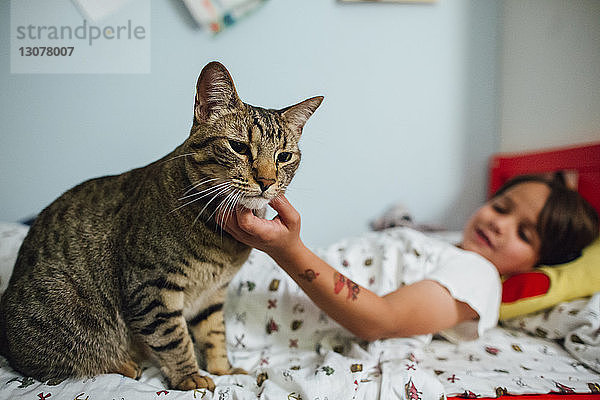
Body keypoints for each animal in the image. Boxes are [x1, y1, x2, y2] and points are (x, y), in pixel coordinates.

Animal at [0, 62, 324, 390]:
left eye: (284, 157)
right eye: (239, 147)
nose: (267, 181)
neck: (223, 243)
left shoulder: (212, 295)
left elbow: (214, 334)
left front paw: (223, 370)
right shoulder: (151, 287)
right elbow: (174, 338)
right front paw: (191, 377)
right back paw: (126, 364)